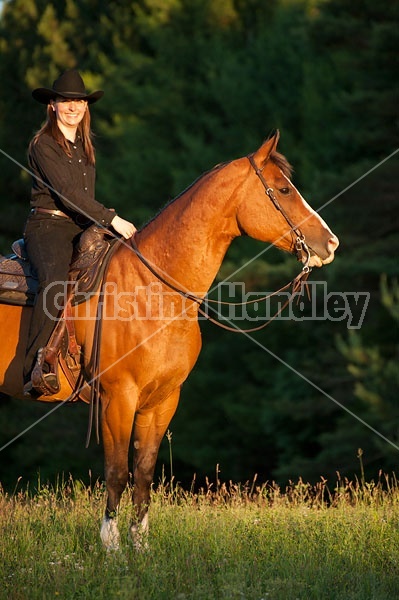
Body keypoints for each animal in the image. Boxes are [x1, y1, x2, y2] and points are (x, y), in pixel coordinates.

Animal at [0, 131, 340, 548]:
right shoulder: (118, 399)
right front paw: (111, 546)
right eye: (284, 189)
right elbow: (117, 472)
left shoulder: (162, 400)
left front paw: (139, 545)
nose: (330, 243)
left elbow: (144, 473)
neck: (153, 289)